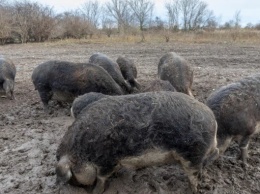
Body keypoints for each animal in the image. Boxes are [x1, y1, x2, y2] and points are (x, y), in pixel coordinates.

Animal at [55, 91, 218, 194]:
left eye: (73, 175)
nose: (77, 188)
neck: (81, 151)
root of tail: (212, 119)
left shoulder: (106, 161)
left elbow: (101, 178)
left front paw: (96, 191)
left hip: (193, 153)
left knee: (194, 175)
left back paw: (193, 190)